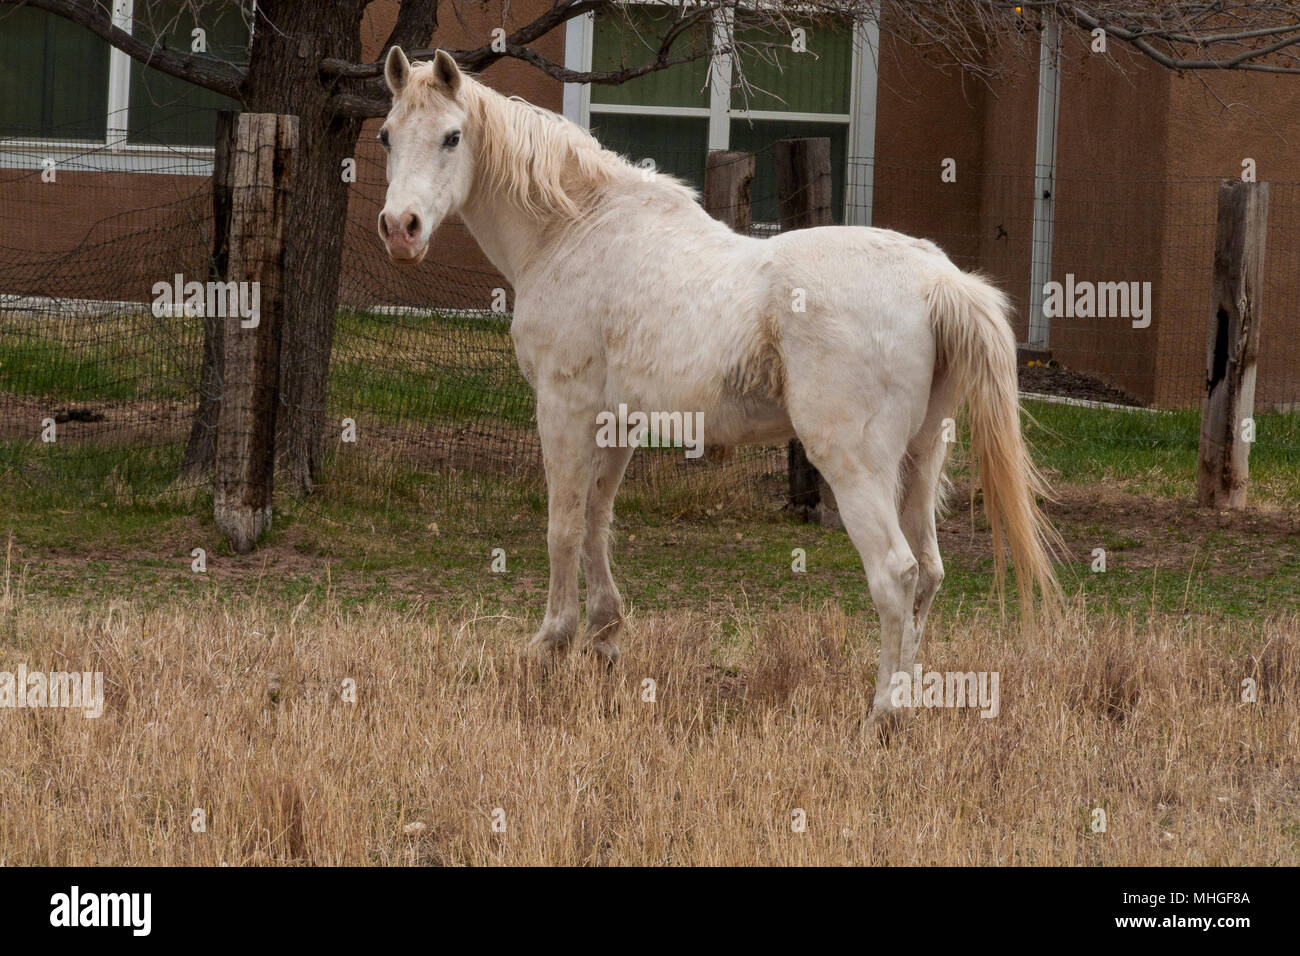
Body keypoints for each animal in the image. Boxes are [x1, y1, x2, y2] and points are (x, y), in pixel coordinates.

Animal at [376, 46, 1061, 725]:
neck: (575, 230)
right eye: (386, 135)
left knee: (896, 574)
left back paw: (882, 715)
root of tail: (935, 280)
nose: (400, 228)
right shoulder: (617, 421)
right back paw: (910, 704)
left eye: (452, 137)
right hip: (922, 457)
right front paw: (603, 639)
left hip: (855, 464)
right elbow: (597, 520)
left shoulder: (563, 408)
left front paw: (551, 644)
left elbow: (563, 526)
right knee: (929, 574)